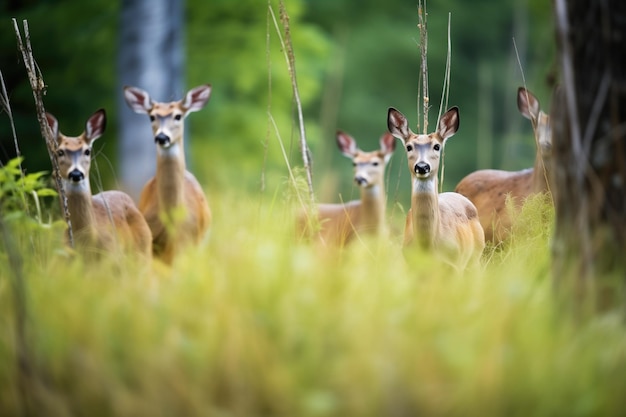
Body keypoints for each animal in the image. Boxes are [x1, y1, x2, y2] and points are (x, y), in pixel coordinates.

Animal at [388, 106, 486, 270]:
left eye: (437, 146)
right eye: (408, 147)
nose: (422, 166)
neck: (428, 246)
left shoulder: (455, 264)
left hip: (475, 258)